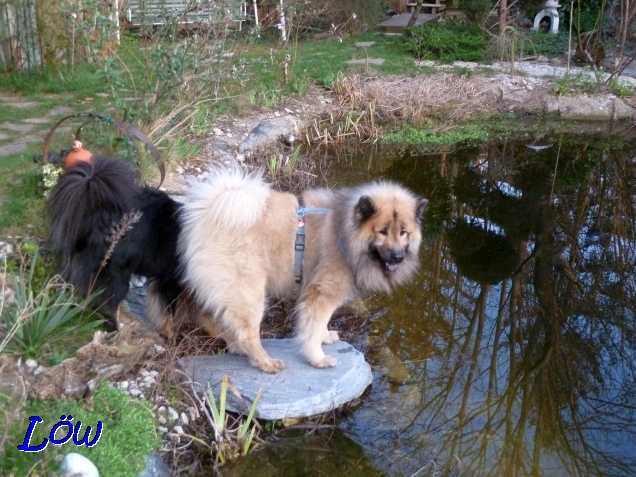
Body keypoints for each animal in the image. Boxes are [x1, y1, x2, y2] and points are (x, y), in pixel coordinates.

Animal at [46, 156, 181, 330]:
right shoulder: (169, 281)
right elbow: (168, 312)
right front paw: (169, 331)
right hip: (117, 276)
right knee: (107, 304)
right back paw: (113, 326)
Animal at [174, 167, 428, 372]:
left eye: (403, 232)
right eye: (383, 232)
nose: (398, 256)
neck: (344, 232)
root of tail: (206, 217)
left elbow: (319, 324)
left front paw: (326, 337)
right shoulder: (322, 294)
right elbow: (312, 330)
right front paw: (318, 359)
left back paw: (239, 350)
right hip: (249, 293)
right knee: (247, 334)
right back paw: (266, 363)